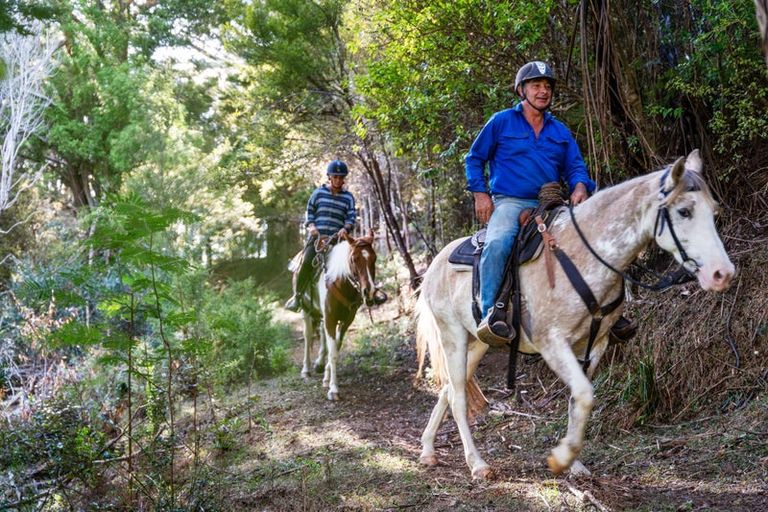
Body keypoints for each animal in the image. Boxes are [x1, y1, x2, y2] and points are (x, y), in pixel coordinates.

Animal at [304, 230, 380, 402]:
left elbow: (336, 347)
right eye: (354, 259)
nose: (369, 292)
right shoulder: (330, 319)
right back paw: (306, 369)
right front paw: (333, 389)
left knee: (322, 335)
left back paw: (319, 364)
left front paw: (327, 377)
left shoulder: (346, 321)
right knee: (308, 336)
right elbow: (333, 352)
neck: (340, 283)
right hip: (306, 311)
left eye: (374, 258)